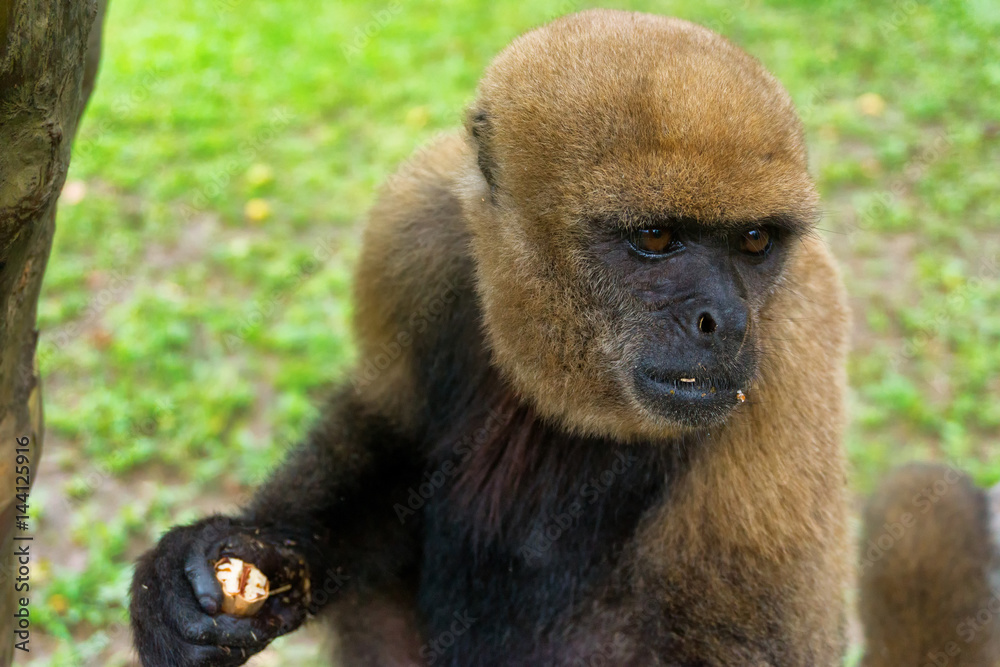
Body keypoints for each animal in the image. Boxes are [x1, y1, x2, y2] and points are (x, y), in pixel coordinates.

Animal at [129, 9, 852, 666]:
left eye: (754, 241)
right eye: (654, 237)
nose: (724, 321)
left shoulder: (799, 334)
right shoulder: (415, 223)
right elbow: (392, 432)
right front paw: (243, 557)